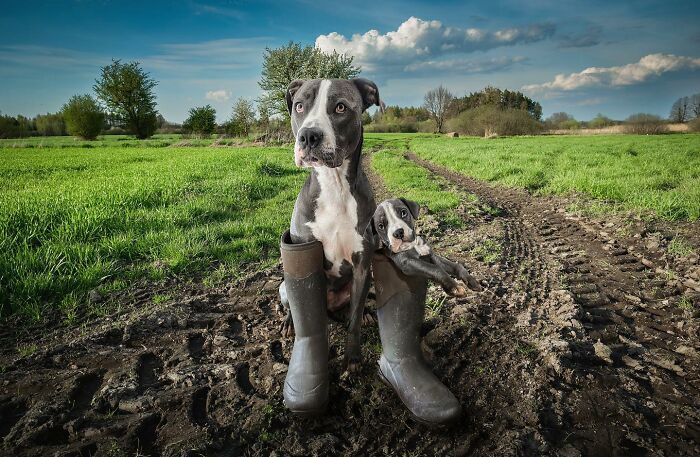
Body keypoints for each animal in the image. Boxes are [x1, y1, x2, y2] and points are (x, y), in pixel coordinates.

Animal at [278, 78, 382, 370]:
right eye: (299, 105)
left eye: (340, 107)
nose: (308, 136)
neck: (334, 186)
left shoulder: (362, 265)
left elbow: (353, 320)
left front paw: (353, 358)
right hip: (283, 286)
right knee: (292, 304)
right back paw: (289, 324)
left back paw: (366, 314)